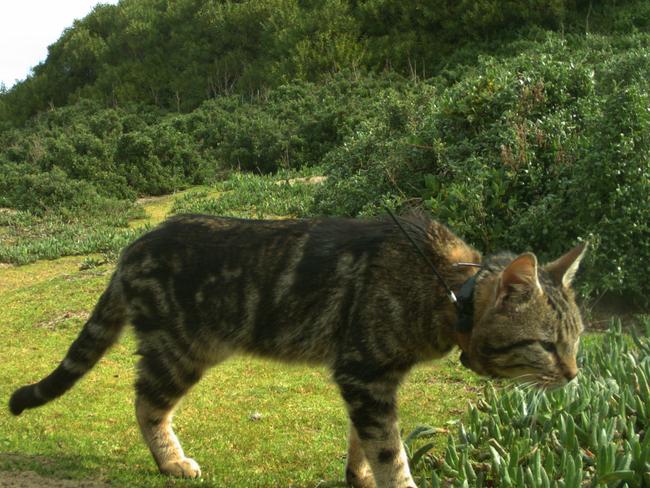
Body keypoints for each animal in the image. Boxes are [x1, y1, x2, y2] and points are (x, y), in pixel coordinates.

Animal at [7, 214, 584, 488]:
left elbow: (364, 444)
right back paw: (172, 462)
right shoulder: (364, 374)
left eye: (576, 342)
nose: (575, 374)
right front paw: (392, 478)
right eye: (547, 345)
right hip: (182, 351)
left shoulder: (372, 381)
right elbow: (390, 450)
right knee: (146, 404)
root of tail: (131, 247)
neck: (445, 289)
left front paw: (359, 477)